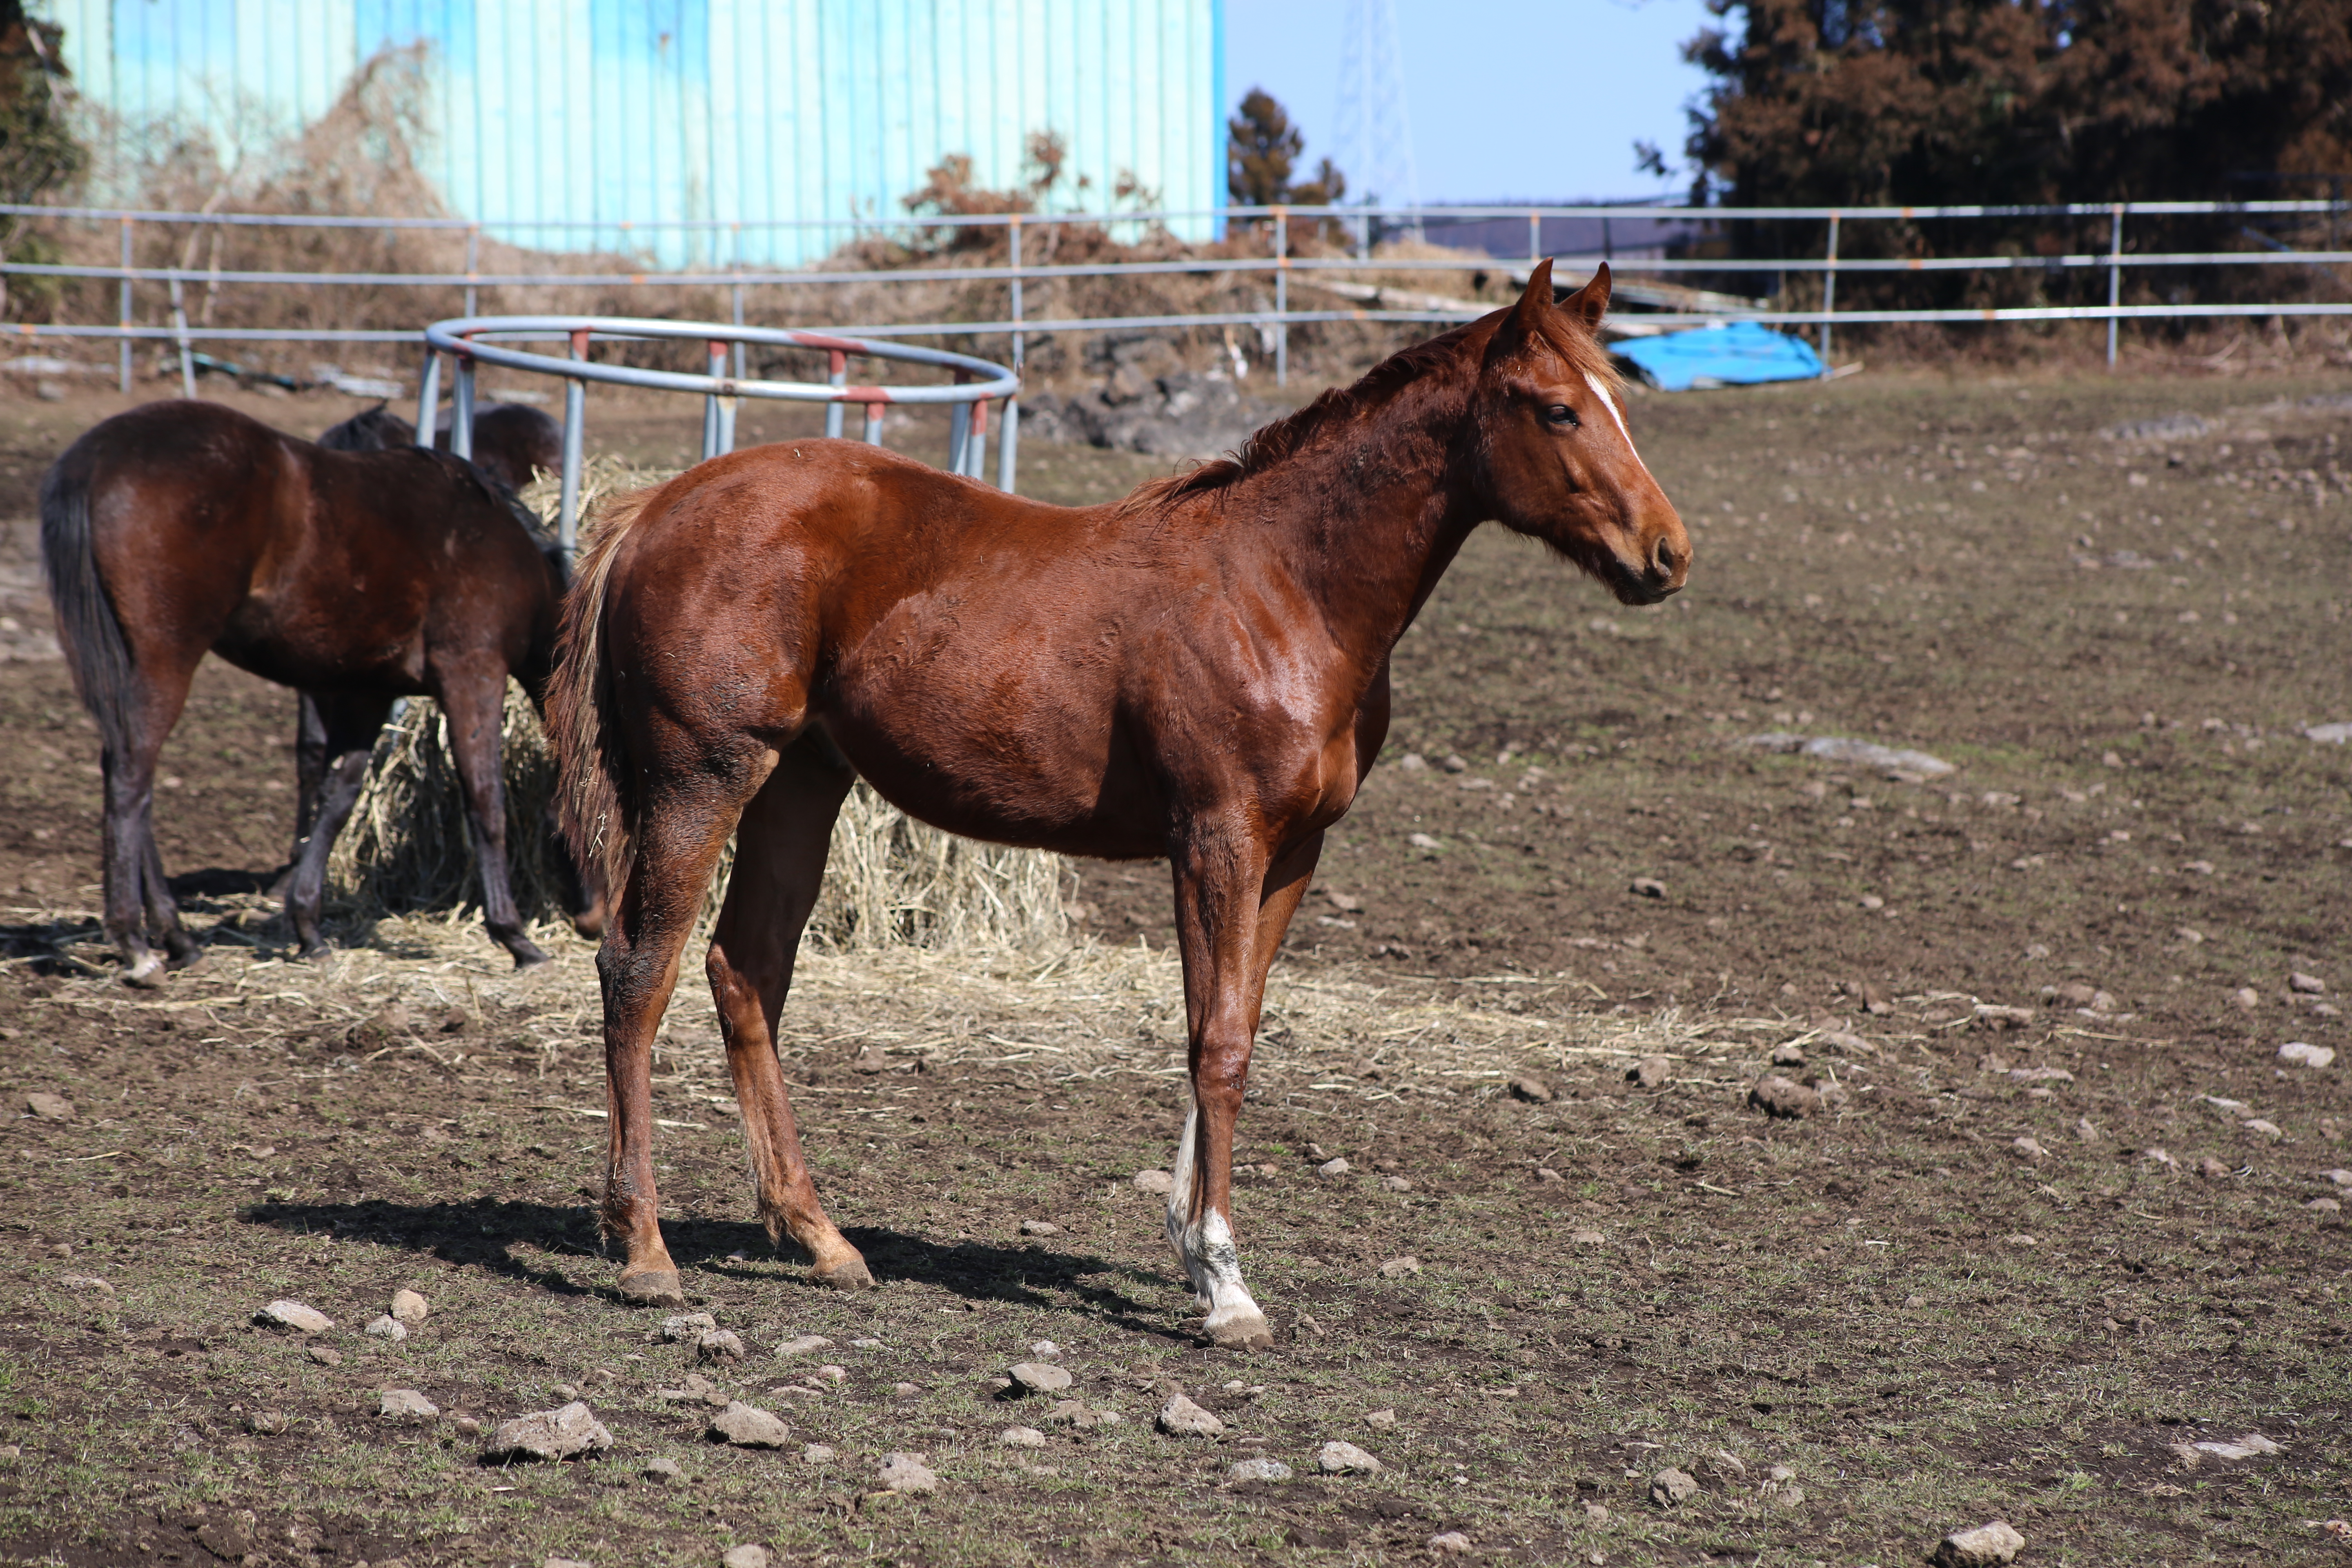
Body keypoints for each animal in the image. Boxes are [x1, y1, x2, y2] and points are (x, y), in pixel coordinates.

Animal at [46, 399, 569, 982]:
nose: (594, 923)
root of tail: (99, 456)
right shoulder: (472, 672)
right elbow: (485, 801)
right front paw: (515, 937)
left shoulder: (368, 690)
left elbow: (338, 798)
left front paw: (308, 927)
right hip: (166, 655)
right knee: (132, 775)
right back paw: (137, 943)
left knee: (131, 775)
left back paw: (177, 936)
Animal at [550, 263, 1693, 1345]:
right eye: (1558, 409)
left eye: (1620, 400)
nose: (1668, 553)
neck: (1282, 588)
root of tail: (653, 508)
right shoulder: (1216, 840)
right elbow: (1215, 1044)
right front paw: (1226, 1288)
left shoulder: (1291, 855)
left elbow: (1236, 1027)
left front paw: (1193, 1247)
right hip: (702, 779)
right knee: (638, 973)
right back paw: (645, 1248)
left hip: (800, 784)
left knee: (746, 972)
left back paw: (819, 1236)